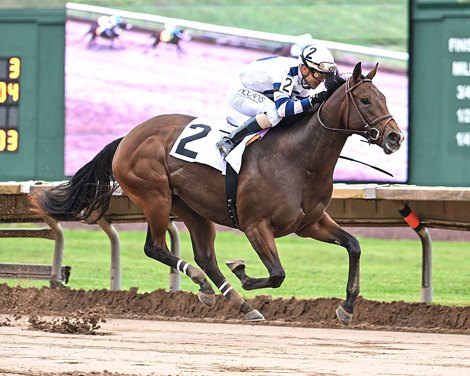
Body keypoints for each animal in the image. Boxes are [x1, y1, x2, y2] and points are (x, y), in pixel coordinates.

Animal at [30, 63, 404, 324]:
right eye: (366, 100)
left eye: (385, 98)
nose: (394, 137)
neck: (299, 159)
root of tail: (127, 137)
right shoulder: (256, 225)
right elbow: (277, 274)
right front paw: (242, 269)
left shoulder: (310, 223)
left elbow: (353, 246)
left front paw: (347, 307)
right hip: (155, 196)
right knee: (156, 247)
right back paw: (209, 287)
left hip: (192, 207)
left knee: (204, 256)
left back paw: (237, 302)